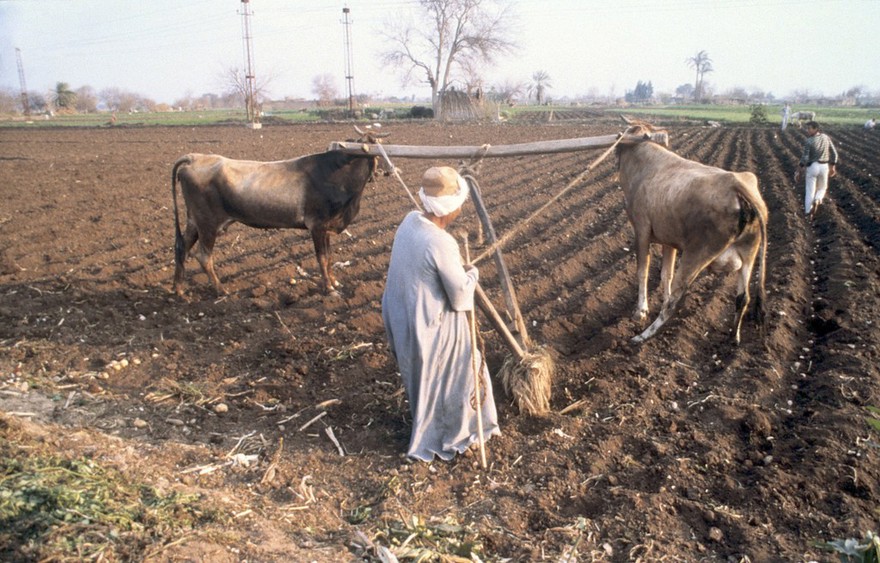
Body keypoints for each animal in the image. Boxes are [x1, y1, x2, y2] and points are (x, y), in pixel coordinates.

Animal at [171, 133, 383, 297]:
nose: (384, 172)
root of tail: (195, 158)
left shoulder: (327, 228)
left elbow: (330, 257)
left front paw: (335, 282)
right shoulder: (317, 226)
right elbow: (322, 258)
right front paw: (329, 289)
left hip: (194, 222)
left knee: (182, 248)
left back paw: (179, 290)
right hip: (208, 224)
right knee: (203, 256)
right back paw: (221, 290)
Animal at [616, 120, 768, 344]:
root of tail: (736, 184)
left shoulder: (641, 231)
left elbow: (642, 272)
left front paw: (641, 311)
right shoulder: (668, 241)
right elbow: (666, 275)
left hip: (696, 255)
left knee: (674, 301)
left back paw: (643, 335)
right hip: (749, 255)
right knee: (743, 298)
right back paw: (734, 337)